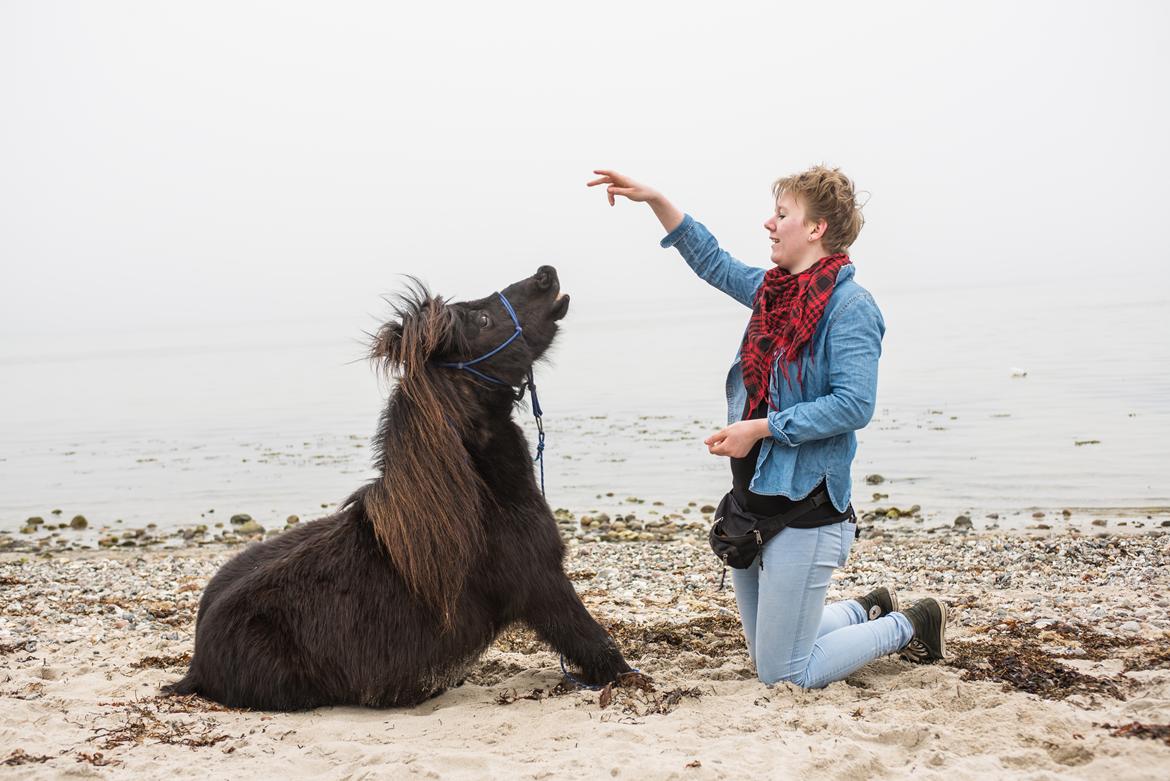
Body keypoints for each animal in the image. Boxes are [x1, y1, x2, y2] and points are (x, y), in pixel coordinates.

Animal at [167, 266, 631, 706]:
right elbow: (593, 642)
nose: (545, 274)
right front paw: (631, 680)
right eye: (483, 319)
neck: (482, 499)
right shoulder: (543, 585)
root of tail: (197, 665)